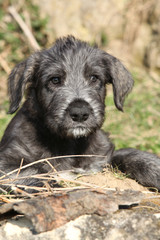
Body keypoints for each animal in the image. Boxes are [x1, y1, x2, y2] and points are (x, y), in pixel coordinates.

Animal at [0, 35, 160, 189]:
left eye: (94, 78)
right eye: (55, 80)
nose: (80, 113)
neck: (70, 144)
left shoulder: (103, 158)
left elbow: (129, 154)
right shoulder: (7, 162)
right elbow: (31, 171)